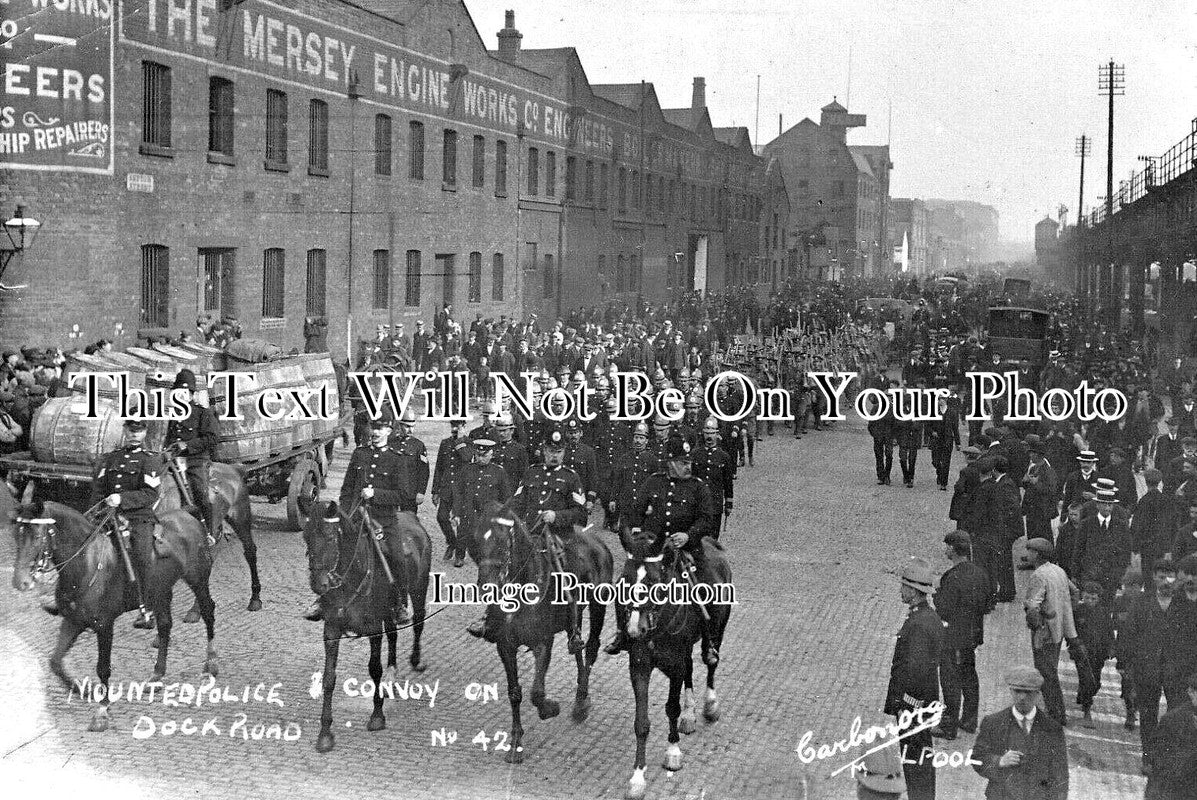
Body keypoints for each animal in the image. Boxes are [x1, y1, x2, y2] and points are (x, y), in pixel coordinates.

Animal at [6, 479, 220, 732]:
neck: (86, 565)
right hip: (160, 591)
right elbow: (55, 661)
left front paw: (102, 711)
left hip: (198, 580)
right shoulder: (73, 620)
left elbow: (103, 667)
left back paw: (211, 662)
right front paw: (84, 690)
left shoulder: (104, 625)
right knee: (165, 625)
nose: (20, 582)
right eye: (16, 534)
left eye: (37, 536)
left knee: (208, 612)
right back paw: (157, 675)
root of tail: (187, 514)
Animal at [304, 495, 430, 752]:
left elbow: (374, 669)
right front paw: (325, 733)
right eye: (306, 536)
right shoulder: (331, 629)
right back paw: (392, 674)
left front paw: (377, 716)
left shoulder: (373, 628)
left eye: (330, 537)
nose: (318, 584)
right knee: (393, 634)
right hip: (388, 613)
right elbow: (329, 678)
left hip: (419, 590)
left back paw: (415, 660)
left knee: (418, 623)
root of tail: (411, 518)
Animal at [471, 502, 612, 766]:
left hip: (598, 606)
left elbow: (536, 693)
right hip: (573, 616)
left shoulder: (543, 642)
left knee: (591, 648)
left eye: (503, 540)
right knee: (577, 647)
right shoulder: (505, 646)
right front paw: (515, 743)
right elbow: (515, 693)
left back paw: (581, 702)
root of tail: (595, 540)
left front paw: (550, 708)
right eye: (475, 539)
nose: (486, 586)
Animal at [627, 536, 727, 800]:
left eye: (652, 581)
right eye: (625, 578)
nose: (634, 630)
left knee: (710, 662)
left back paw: (710, 704)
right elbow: (641, 723)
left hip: (717, 629)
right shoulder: (640, 666)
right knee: (691, 669)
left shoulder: (675, 665)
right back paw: (689, 715)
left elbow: (671, 708)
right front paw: (638, 777)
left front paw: (673, 753)